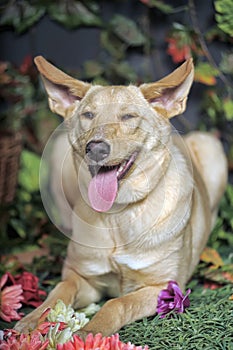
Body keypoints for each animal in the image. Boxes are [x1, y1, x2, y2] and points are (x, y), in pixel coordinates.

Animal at [15, 57, 227, 336]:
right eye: (88, 115)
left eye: (128, 116)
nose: (95, 148)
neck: (119, 214)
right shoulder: (81, 277)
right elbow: (59, 291)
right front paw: (32, 320)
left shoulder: (163, 288)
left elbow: (117, 303)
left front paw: (88, 334)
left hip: (209, 145)